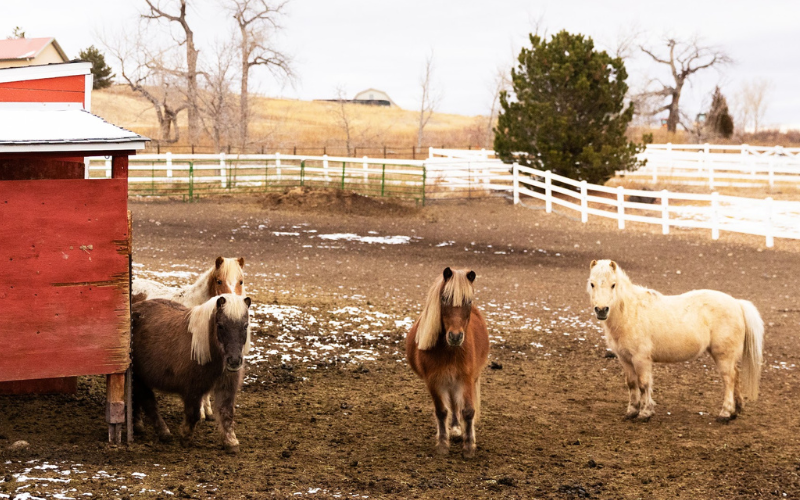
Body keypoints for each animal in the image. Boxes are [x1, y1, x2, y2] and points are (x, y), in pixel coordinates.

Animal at [406, 268, 488, 458]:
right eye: (444, 298)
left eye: (468, 300)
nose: (455, 336)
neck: (451, 351)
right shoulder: (434, 381)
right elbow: (442, 411)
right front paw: (443, 444)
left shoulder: (466, 379)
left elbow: (468, 411)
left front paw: (469, 446)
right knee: (452, 404)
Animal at [588, 260, 764, 424]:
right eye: (592, 283)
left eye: (613, 284)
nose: (602, 310)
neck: (630, 313)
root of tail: (737, 303)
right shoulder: (624, 358)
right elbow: (631, 384)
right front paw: (632, 411)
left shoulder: (641, 359)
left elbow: (644, 384)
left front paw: (645, 413)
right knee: (736, 376)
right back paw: (737, 409)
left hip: (723, 356)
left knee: (729, 379)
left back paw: (725, 413)